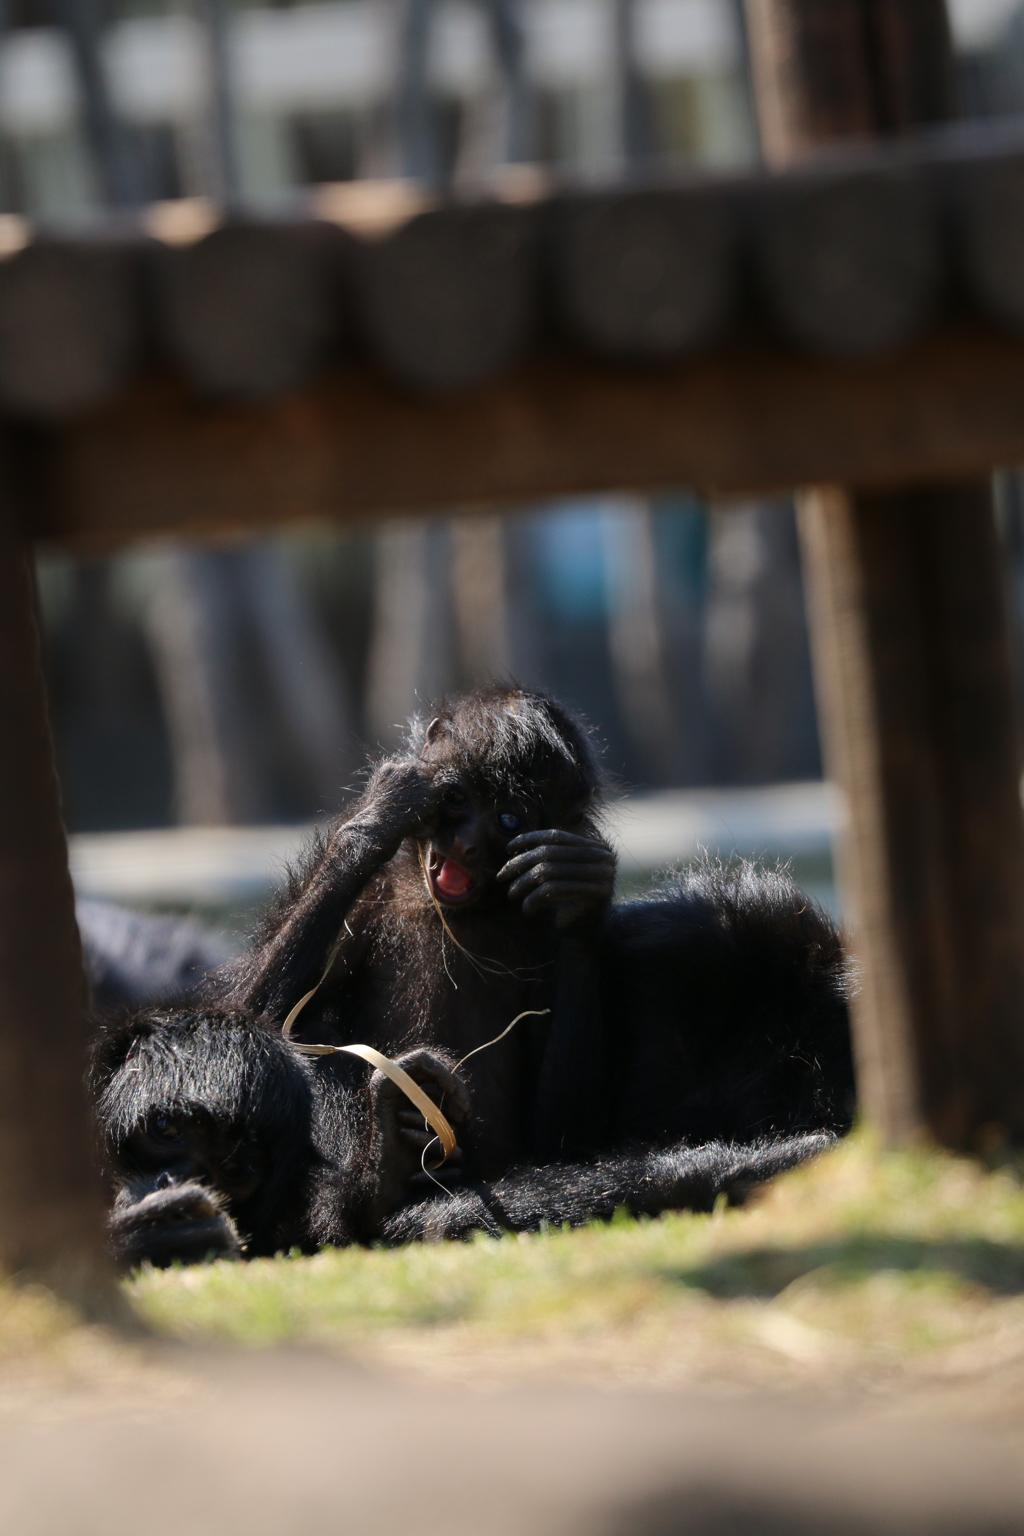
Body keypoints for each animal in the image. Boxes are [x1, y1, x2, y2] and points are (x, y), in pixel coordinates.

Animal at [90, 691, 859, 1265]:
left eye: (509, 818)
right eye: (457, 800)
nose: (462, 844)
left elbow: (562, 1129)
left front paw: (579, 893)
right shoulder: (369, 900)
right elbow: (259, 1018)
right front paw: (380, 812)